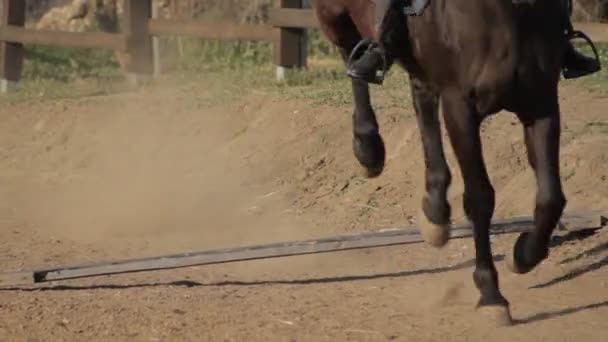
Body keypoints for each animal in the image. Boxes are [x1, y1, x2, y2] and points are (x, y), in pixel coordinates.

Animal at [312, 0, 592, 326]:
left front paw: (522, 255)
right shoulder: (461, 108)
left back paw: (435, 212)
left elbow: (551, 199)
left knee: (421, 98)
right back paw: (368, 147)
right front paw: (490, 295)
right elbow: (480, 198)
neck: (512, 11)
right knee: (350, 52)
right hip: (334, 15)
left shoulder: (541, 105)